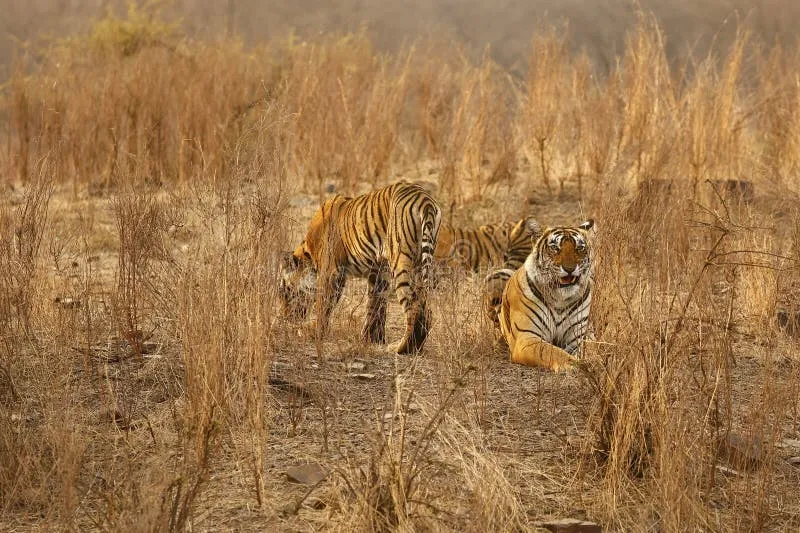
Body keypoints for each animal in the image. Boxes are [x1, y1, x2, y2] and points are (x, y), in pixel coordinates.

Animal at [280, 181, 444, 356]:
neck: (309, 252)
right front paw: (371, 339)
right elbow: (375, 305)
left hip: (401, 261)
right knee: (426, 308)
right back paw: (416, 346)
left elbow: (324, 305)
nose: (285, 317)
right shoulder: (379, 272)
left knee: (414, 306)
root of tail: (425, 200)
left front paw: (313, 332)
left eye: (284, 292)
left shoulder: (332, 271)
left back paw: (401, 348)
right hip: (420, 263)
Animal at [496, 218, 596, 372]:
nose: (569, 268)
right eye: (554, 247)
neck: (560, 298)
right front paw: (574, 364)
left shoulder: (579, 337)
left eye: (579, 248)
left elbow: (589, 350)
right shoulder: (527, 337)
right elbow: (551, 351)